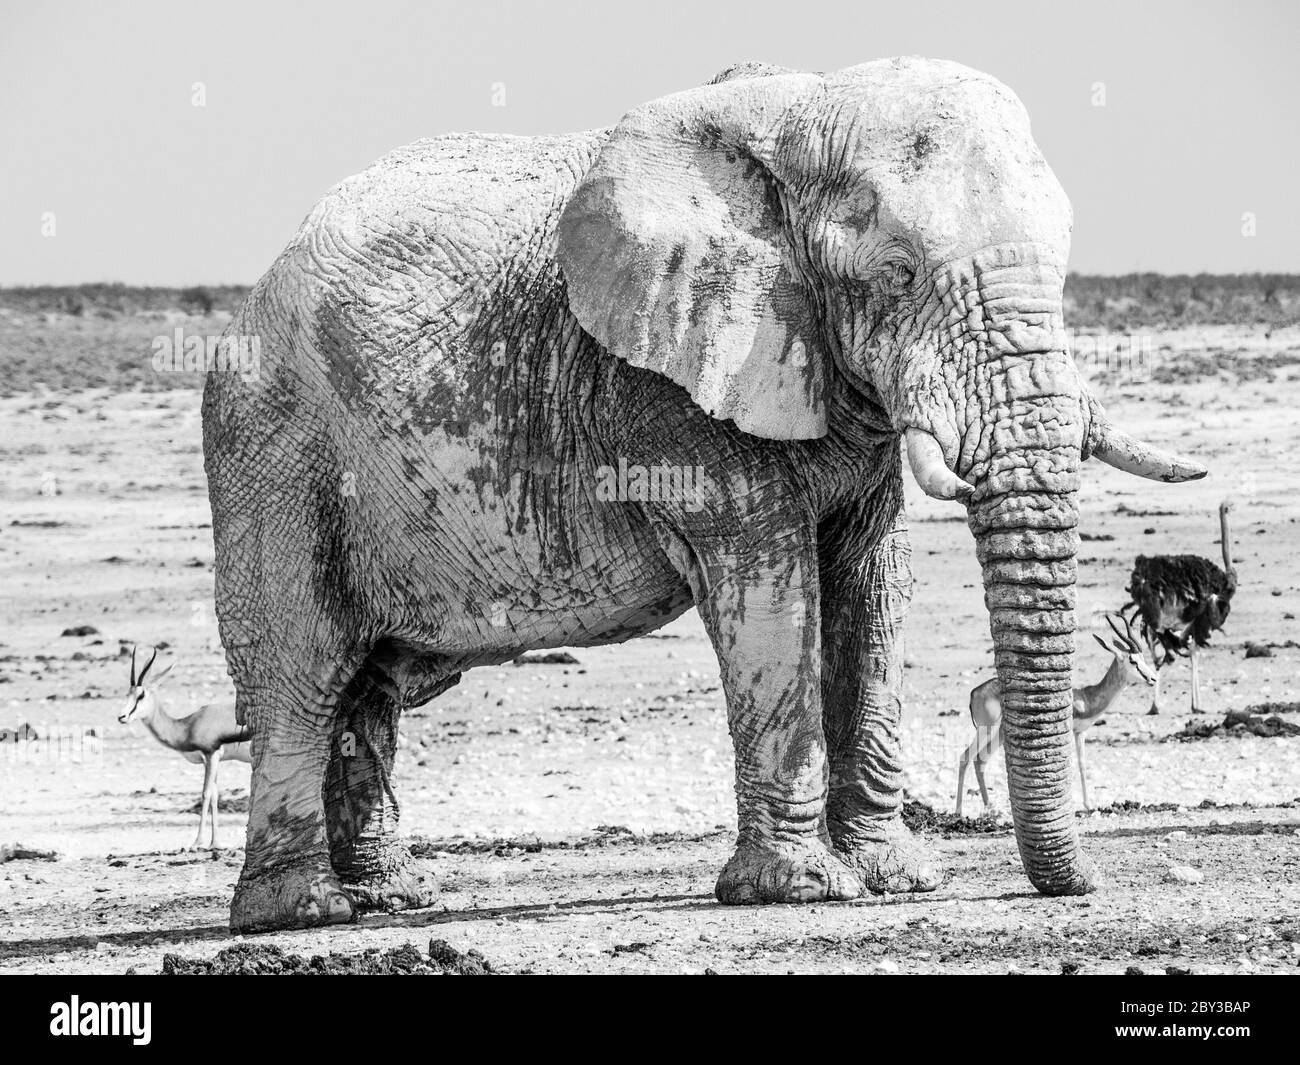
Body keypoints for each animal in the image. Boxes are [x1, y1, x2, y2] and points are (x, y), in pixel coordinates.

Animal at [202, 56, 1206, 931]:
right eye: (898, 273)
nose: (1084, 885)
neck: (801, 118)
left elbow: (872, 590)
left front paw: (895, 877)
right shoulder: (674, 389)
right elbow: (768, 586)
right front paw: (802, 890)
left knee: (370, 690)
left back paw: (393, 898)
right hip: (274, 452)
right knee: (303, 675)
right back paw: (303, 911)